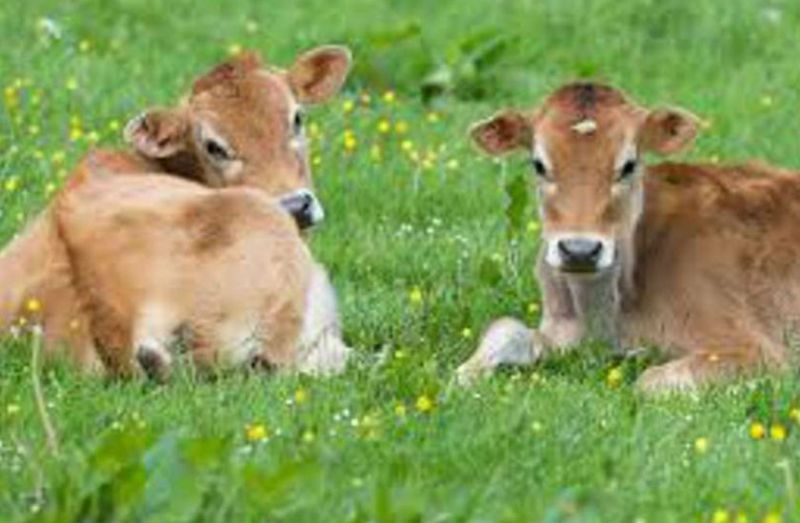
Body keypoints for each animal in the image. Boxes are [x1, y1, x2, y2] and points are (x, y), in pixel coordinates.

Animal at [457, 82, 798, 392]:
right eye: (539, 165)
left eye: (628, 165)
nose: (579, 250)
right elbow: (503, 328)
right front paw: (466, 375)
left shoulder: (755, 349)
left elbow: (648, 382)